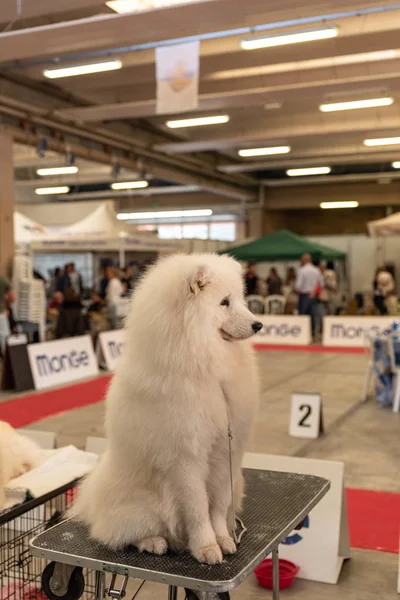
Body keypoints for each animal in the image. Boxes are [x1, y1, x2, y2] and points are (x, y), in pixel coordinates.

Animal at [73, 253, 260, 564]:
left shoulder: (225, 452)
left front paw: (223, 539)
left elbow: (218, 506)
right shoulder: (185, 459)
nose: (259, 325)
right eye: (224, 302)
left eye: (241, 299)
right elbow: (198, 509)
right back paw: (154, 542)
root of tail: (92, 502)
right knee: (117, 534)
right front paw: (207, 548)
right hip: (140, 505)